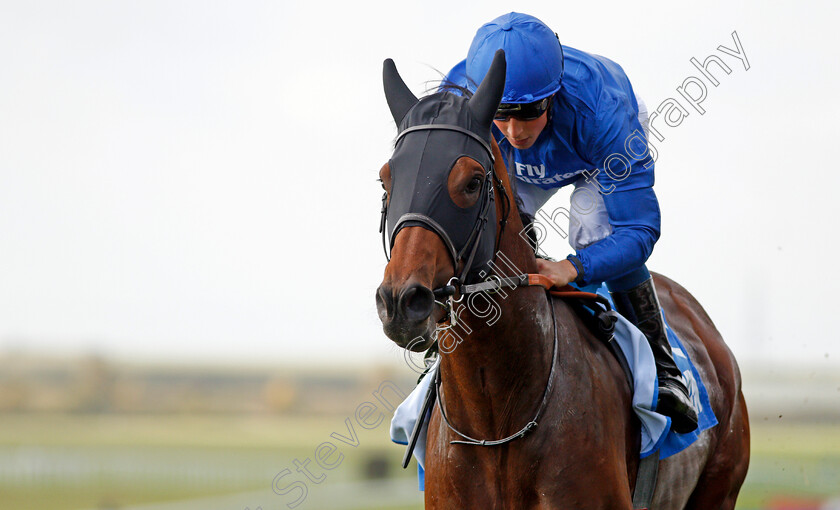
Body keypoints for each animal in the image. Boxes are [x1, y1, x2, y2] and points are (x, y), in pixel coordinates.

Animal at [374, 49, 748, 508]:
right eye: (385, 178)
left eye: (473, 182)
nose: (401, 302)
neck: (495, 423)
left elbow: (636, 227)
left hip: (719, 488)